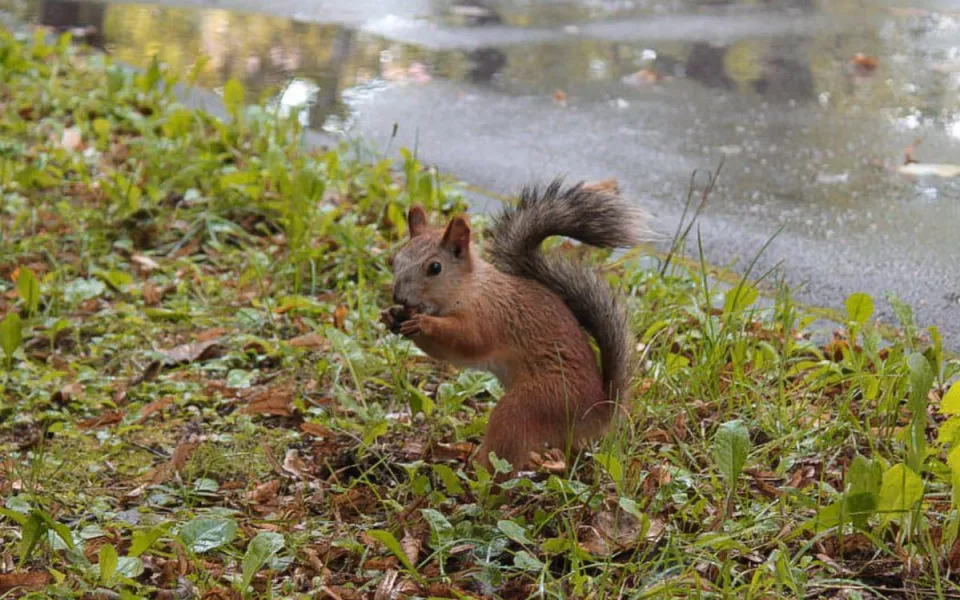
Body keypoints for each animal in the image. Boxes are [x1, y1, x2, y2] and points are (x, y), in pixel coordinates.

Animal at [378, 178, 656, 474]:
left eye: (435, 267)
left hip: (533, 404)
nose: (399, 297)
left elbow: (466, 340)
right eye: (397, 259)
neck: (471, 288)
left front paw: (423, 322)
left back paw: (478, 474)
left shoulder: (490, 316)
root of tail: (596, 411)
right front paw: (391, 316)